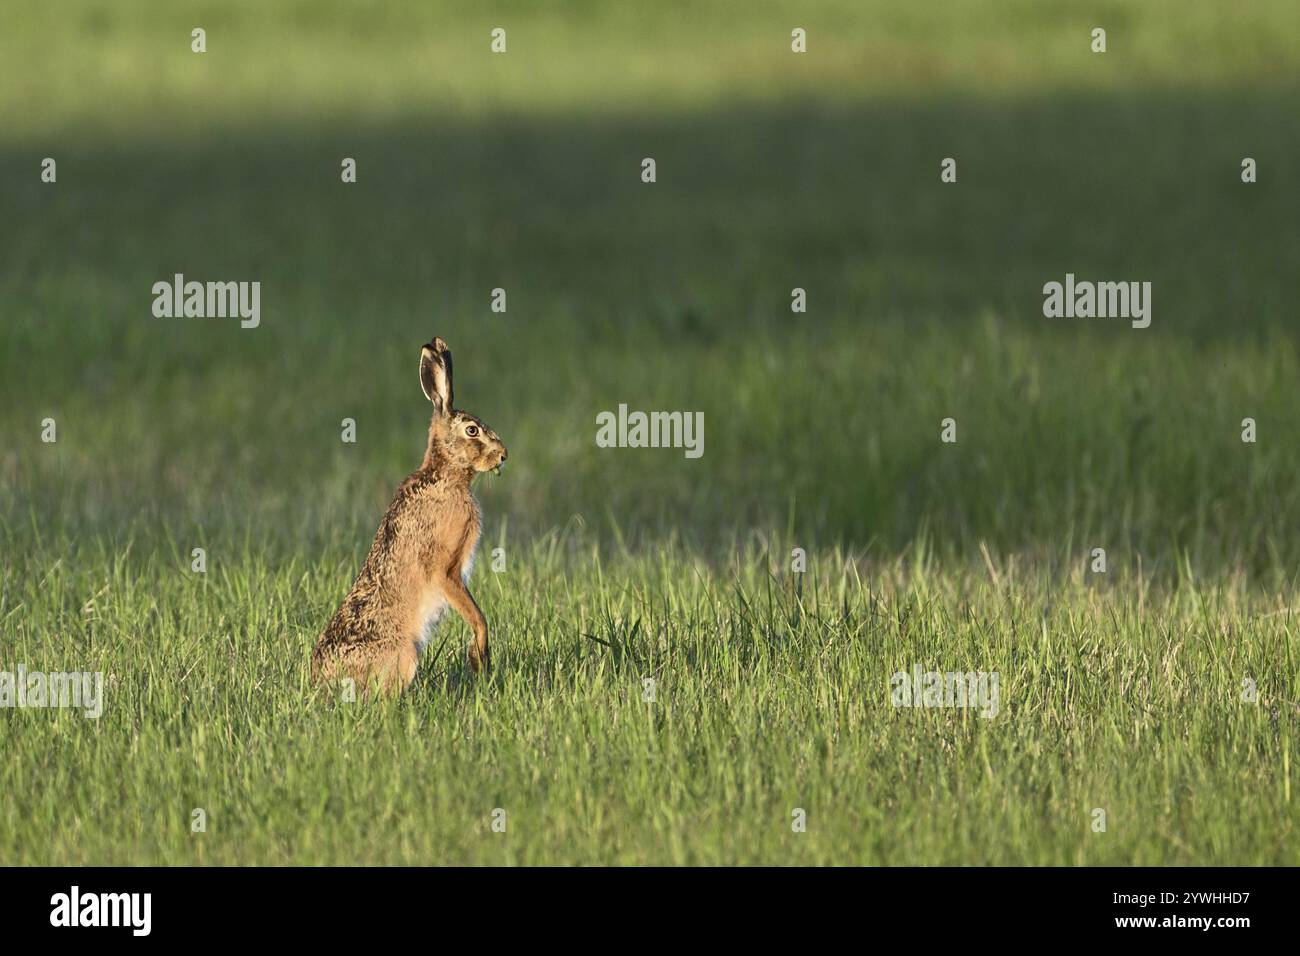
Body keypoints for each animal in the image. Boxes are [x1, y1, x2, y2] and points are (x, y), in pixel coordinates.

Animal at [311, 336, 507, 697]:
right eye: (472, 430)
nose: (503, 455)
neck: (445, 474)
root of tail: (322, 682)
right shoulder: (445, 569)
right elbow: (476, 615)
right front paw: (479, 655)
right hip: (405, 653)